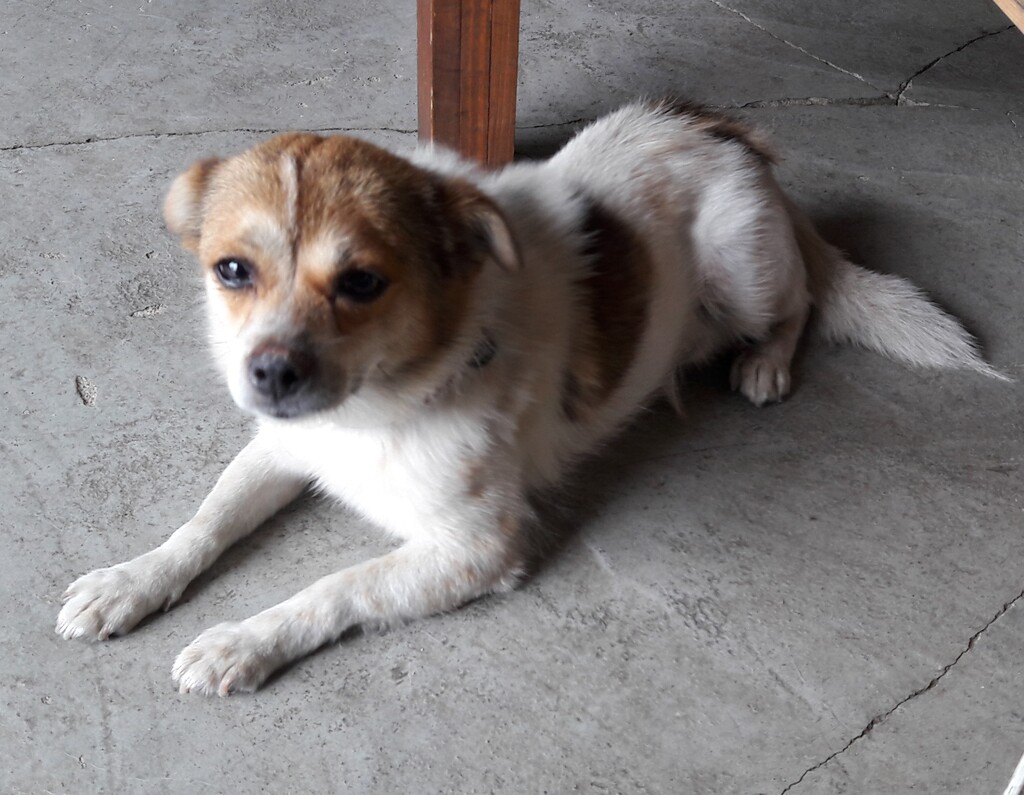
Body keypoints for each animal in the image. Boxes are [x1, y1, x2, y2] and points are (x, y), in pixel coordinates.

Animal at [56, 100, 1002, 696]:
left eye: (361, 282)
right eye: (232, 270)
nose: (270, 374)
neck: (388, 399)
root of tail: (718, 130)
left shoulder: (479, 545)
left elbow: (333, 587)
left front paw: (242, 641)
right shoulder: (284, 446)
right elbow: (205, 520)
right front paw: (131, 580)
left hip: (743, 267)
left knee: (801, 300)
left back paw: (766, 362)